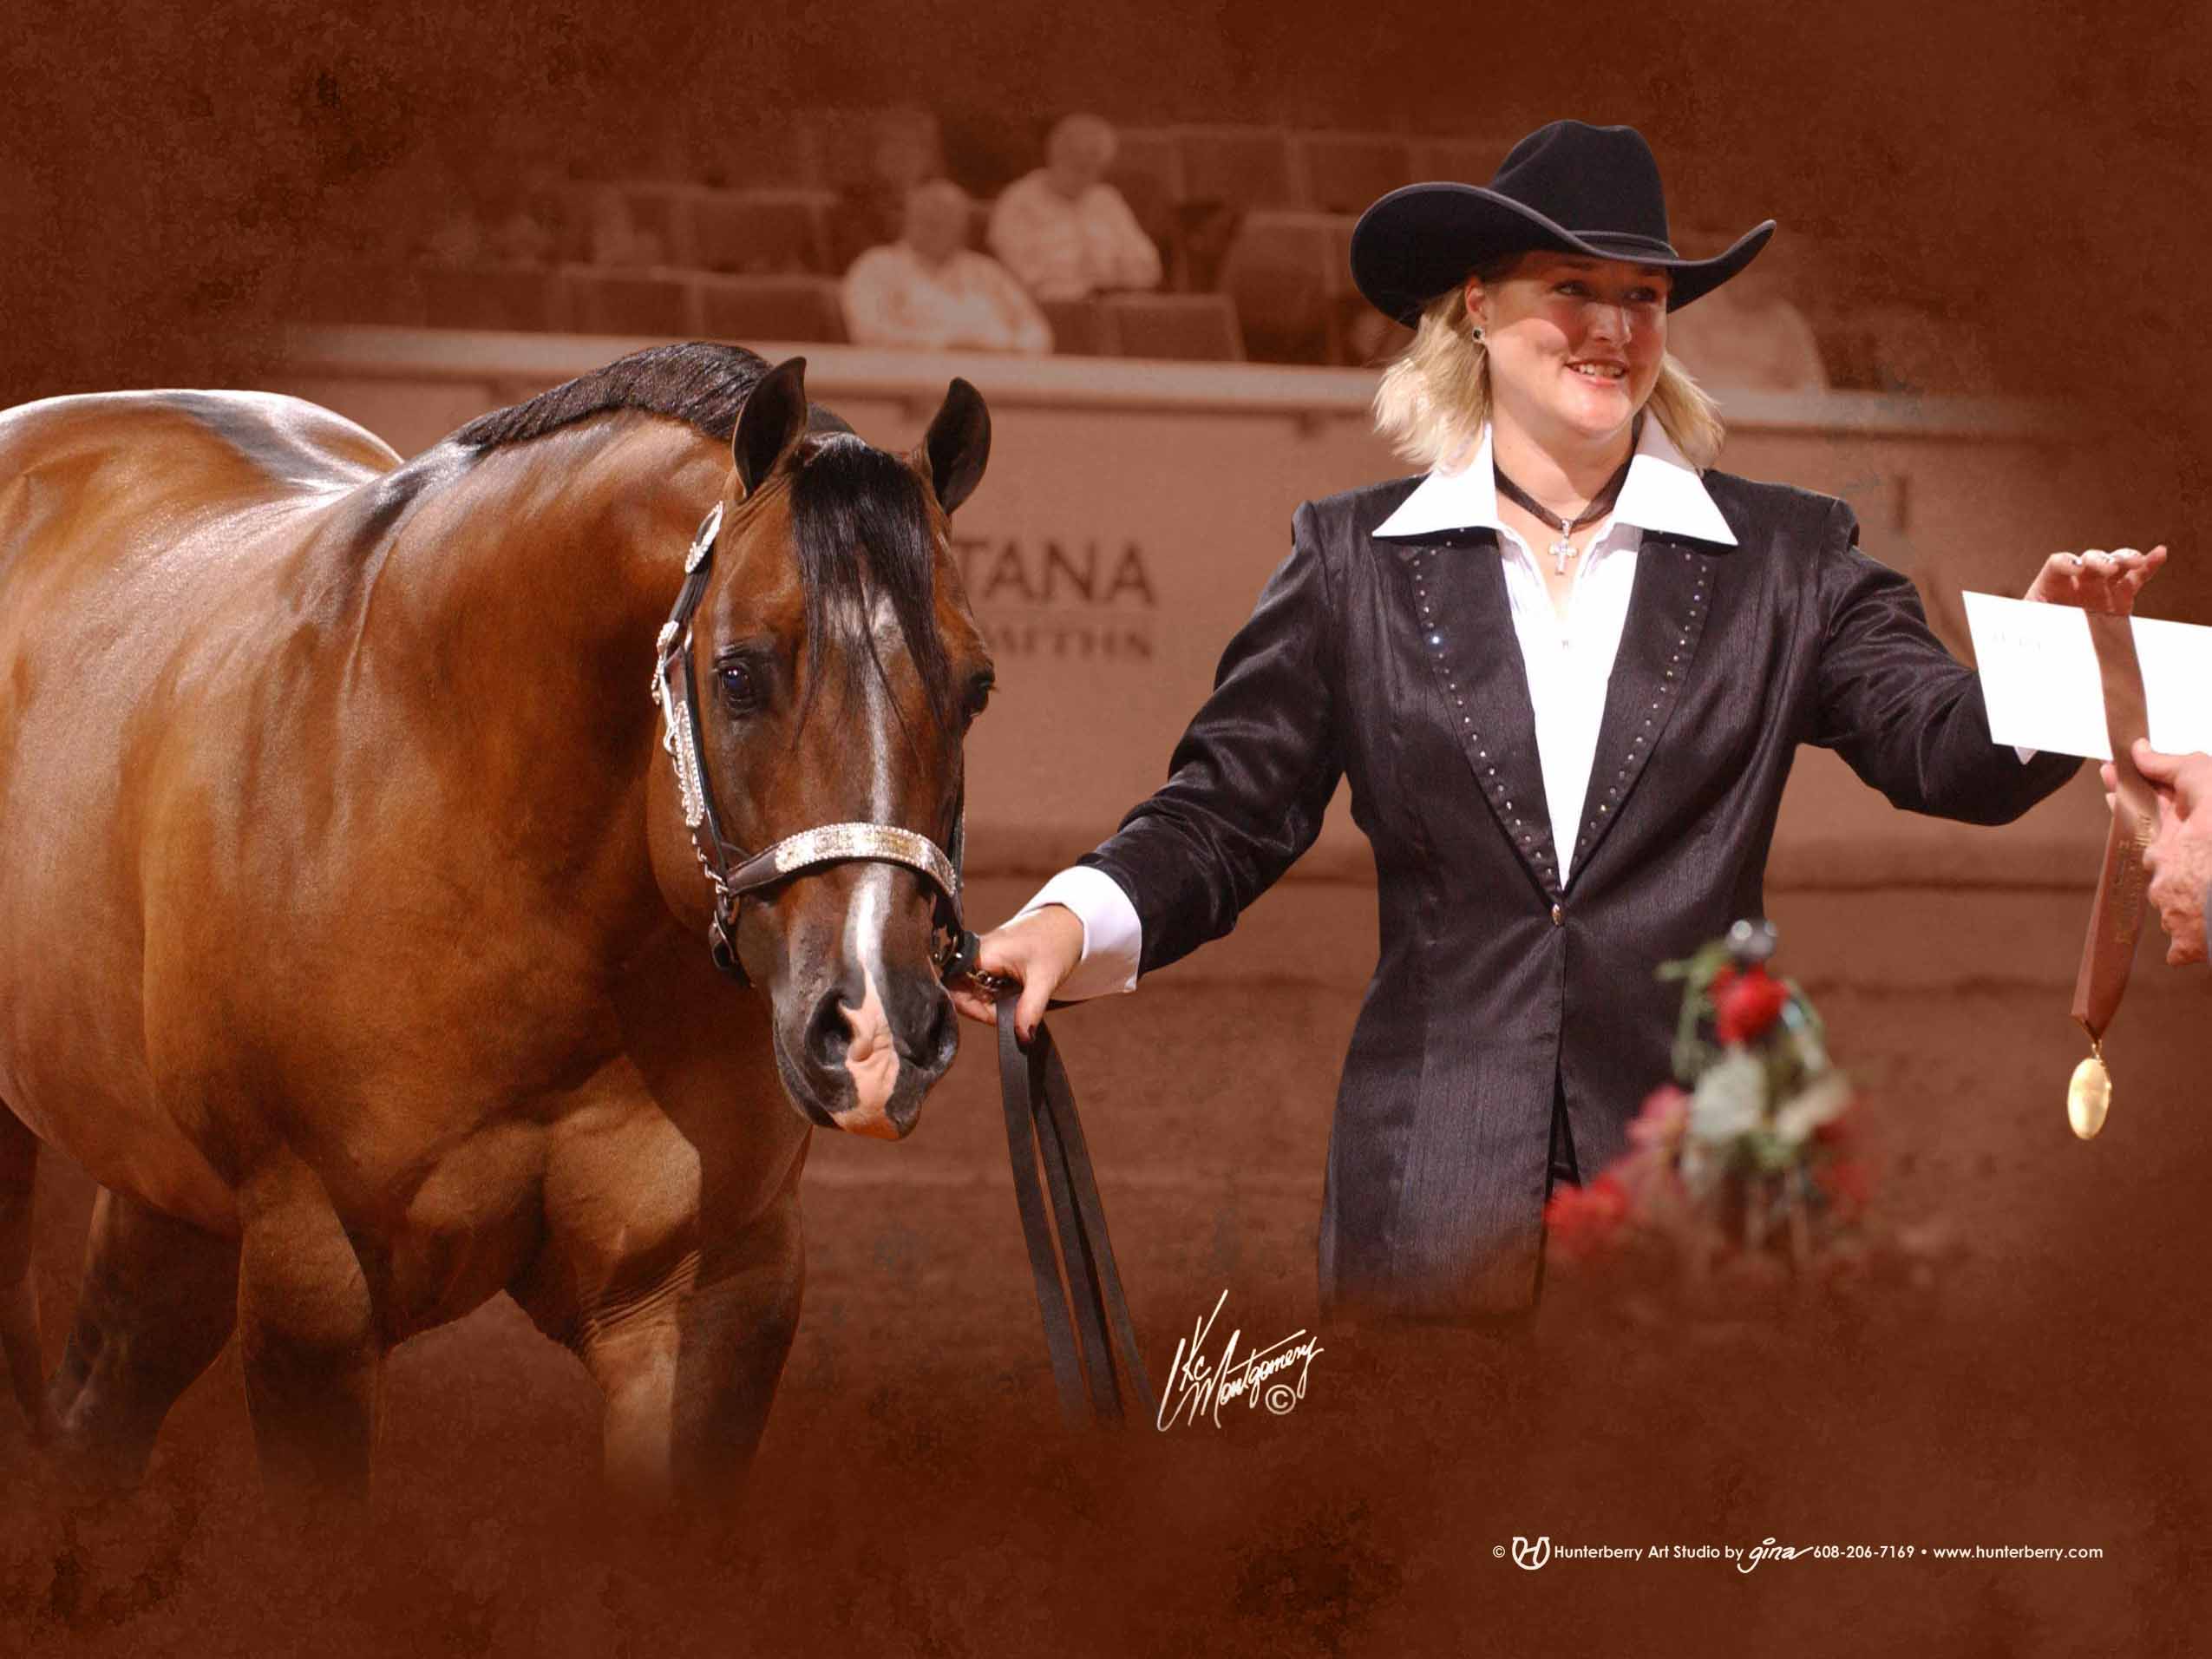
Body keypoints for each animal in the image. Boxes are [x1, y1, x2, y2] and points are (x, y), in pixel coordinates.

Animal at [0, 344, 995, 1512]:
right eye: (740, 672)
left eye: (977, 688)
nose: (879, 1027)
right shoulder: (310, 1293)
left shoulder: (704, 1301)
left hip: (170, 1199)